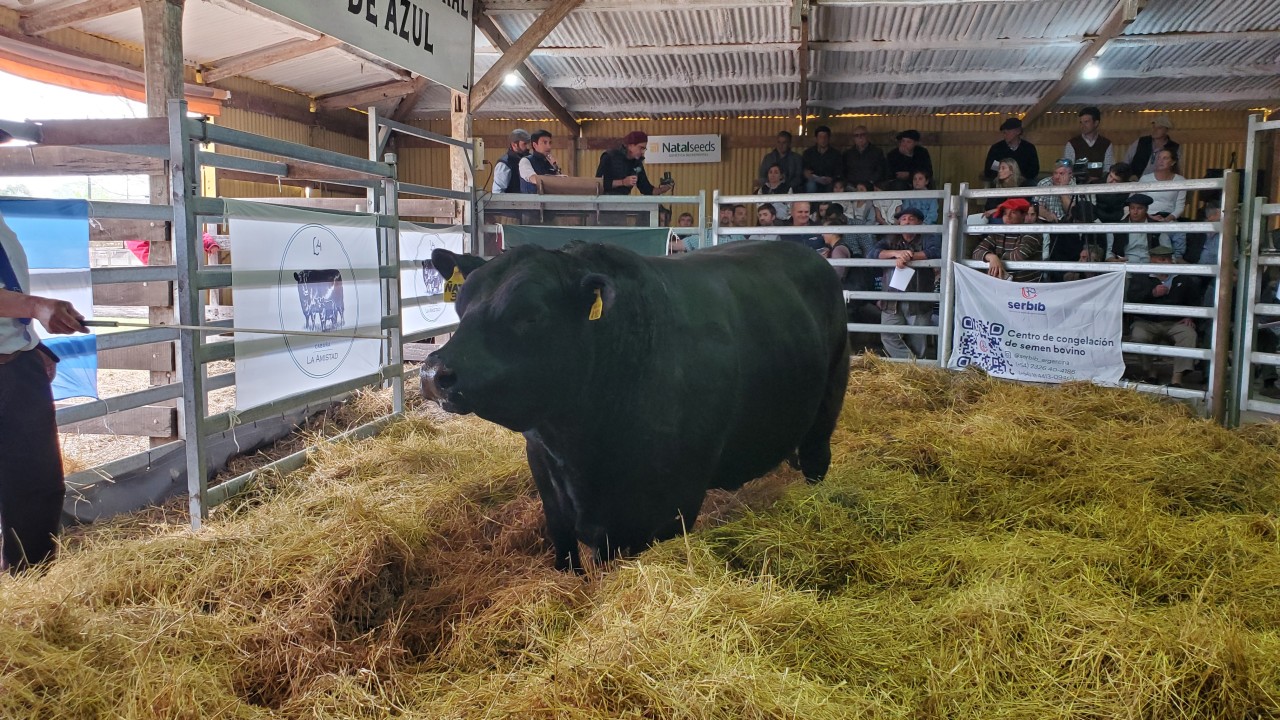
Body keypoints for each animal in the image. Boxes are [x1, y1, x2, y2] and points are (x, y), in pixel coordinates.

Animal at [421, 241, 849, 573]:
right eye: (460, 307)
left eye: (530, 315)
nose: (433, 372)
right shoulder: (548, 480)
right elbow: (566, 553)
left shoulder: (670, 504)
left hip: (827, 404)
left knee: (817, 460)